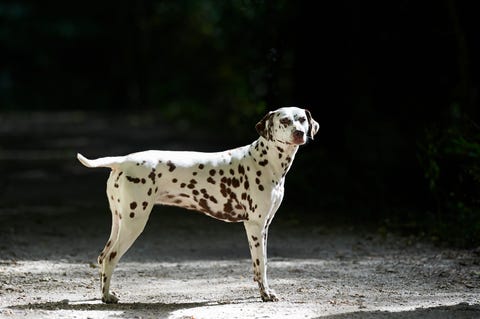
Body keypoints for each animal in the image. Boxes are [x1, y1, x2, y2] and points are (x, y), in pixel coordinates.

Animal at [78, 107, 318, 302]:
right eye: (284, 120)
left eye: (301, 120)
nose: (299, 133)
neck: (266, 161)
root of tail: (122, 161)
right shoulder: (255, 226)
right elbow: (261, 264)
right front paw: (265, 294)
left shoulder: (265, 226)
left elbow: (262, 265)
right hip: (133, 224)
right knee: (110, 257)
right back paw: (107, 297)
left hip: (119, 221)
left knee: (102, 256)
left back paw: (104, 293)